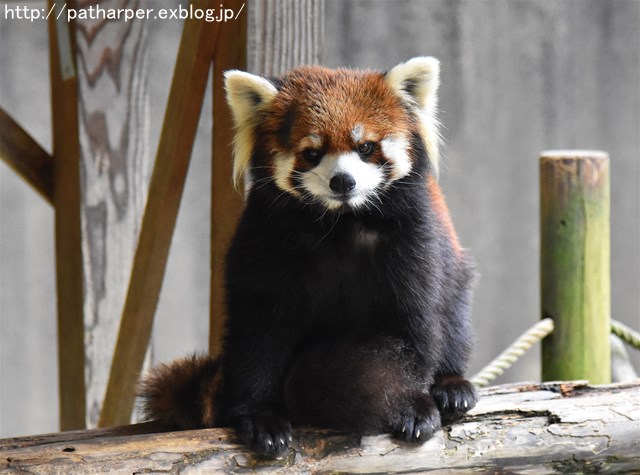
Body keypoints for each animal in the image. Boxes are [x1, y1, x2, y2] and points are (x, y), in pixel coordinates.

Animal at [142, 57, 478, 460]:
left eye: (365, 147)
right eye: (312, 152)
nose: (343, 181)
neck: (340, 223)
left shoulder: (414, 240)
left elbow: (413, 328)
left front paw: (411, 405)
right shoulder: (265, 245)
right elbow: (258, 335)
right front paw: (260, 416)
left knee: (454, 316)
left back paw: (452, 385)